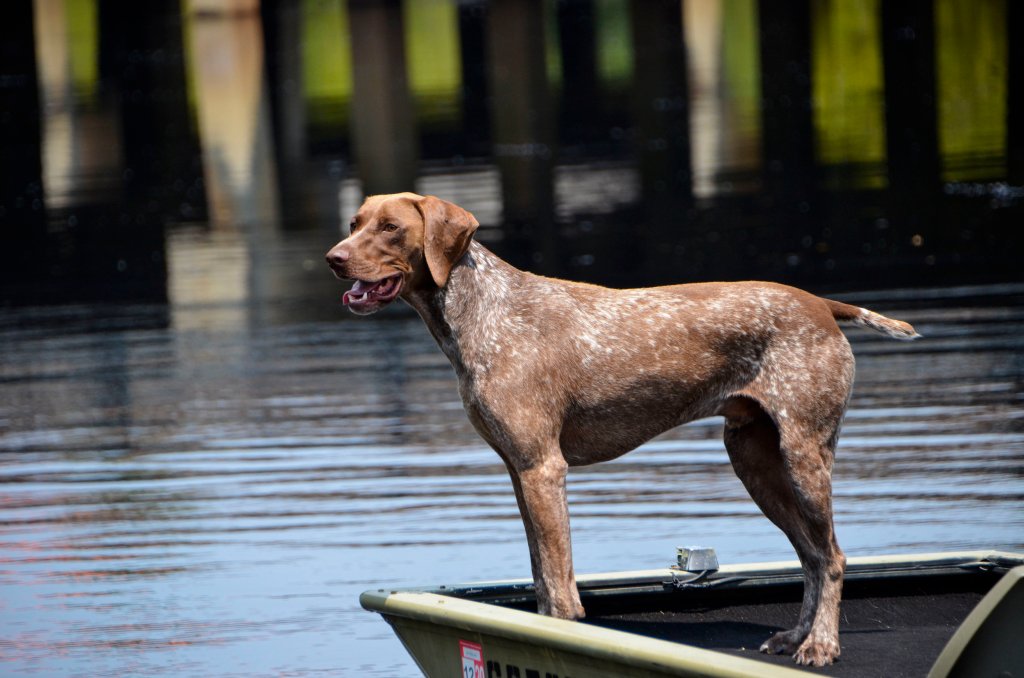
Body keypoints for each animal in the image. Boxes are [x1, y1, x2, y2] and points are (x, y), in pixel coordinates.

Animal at [325, 193, 919, 666]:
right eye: (354, 222)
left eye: (390, 227)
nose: (334, 258)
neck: (478, 310)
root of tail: (822, 304)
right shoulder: (520, 472)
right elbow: (541, 580)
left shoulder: (544, 469)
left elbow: (559, 592)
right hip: (755, 461)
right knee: (813, 557)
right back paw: (796, 637)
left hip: (803, 456)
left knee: (833, 557)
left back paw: (820, 645)